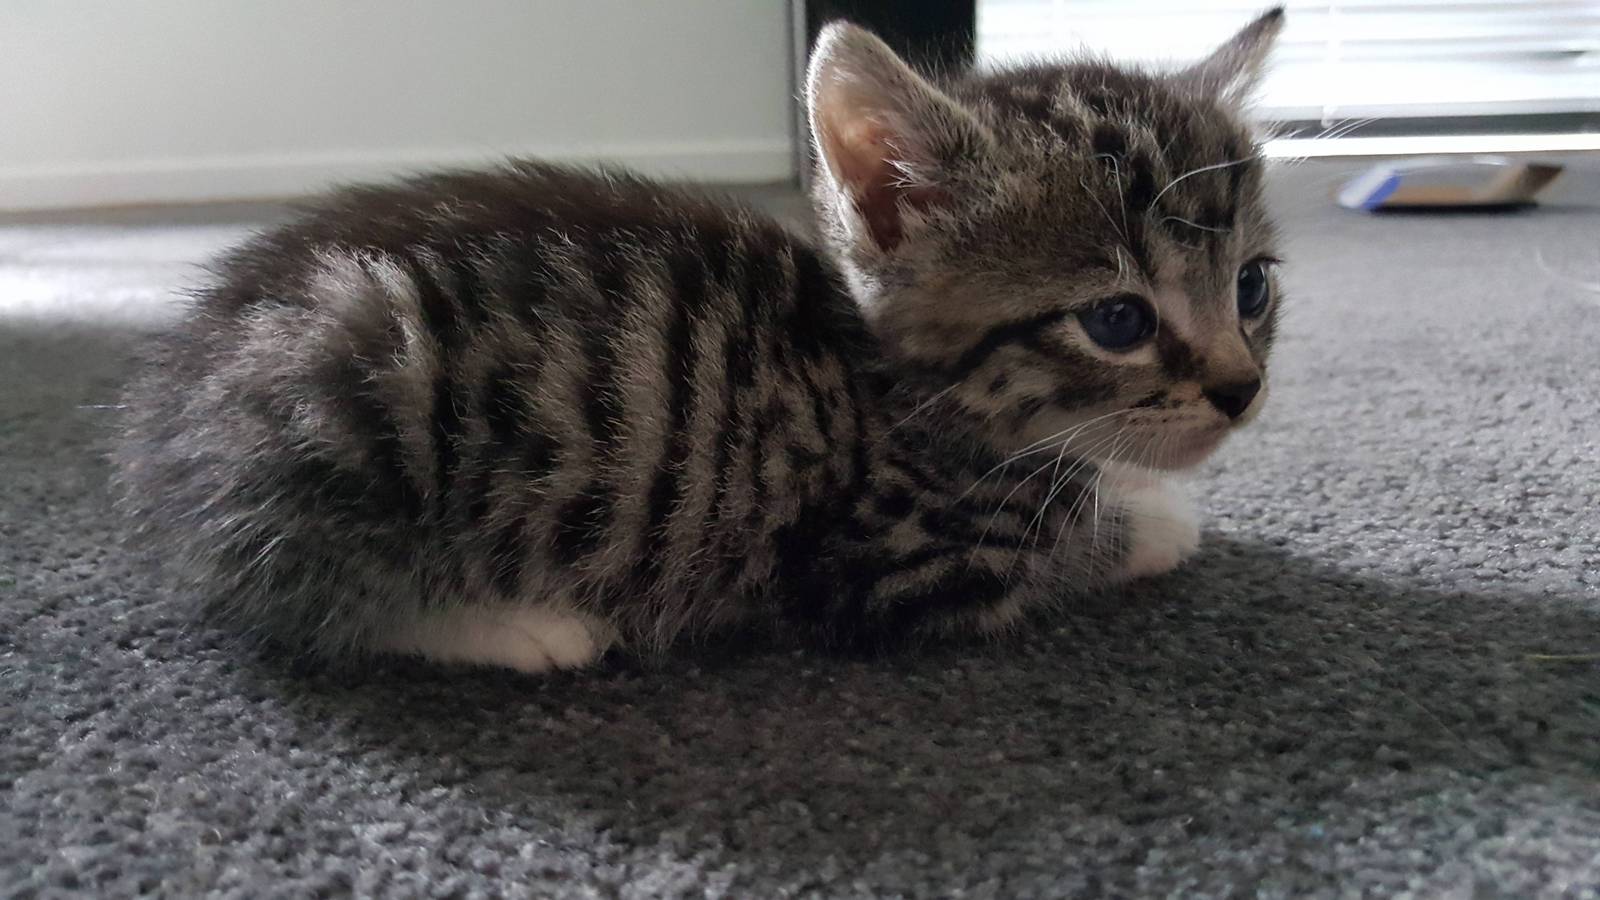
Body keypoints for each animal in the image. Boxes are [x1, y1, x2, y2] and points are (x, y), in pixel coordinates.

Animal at [112, 10, 1286, 669]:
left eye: (1253, 287)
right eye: (1117, 321)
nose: (1240, 389)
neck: (885, 390)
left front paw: (1130, 481)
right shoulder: (883, 561)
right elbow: (1066, 544)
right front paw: (1155, 515)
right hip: (345, 402)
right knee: (305, 599)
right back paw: (521, 627)